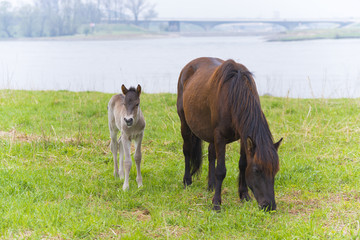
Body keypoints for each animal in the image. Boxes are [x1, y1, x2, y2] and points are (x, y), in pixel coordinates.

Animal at [176, 57, 282, 211]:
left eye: (275, 171)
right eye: (257, 170)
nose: (269, 206)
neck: (233, 95)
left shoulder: (244, 137)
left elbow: (242, 164)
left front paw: (244, 195)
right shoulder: (220, 136)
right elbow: (221, 170)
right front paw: (216, 203)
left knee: (211, 154)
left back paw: (211, 185)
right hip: (185, 124)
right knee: (187, 150)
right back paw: (187, 181)